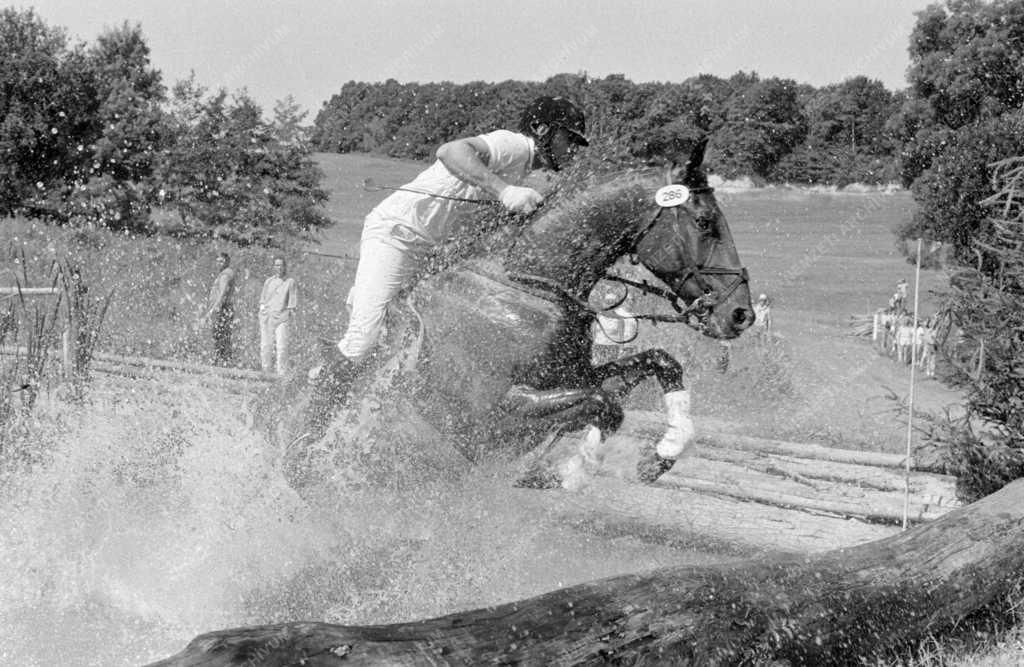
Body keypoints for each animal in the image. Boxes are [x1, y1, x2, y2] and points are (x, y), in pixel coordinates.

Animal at [292, 138, 757, 487]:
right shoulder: (489, 416)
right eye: (704, 222)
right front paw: (569, 472)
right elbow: (606, 405)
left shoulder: (573, 376)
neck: (527, 286)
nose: (741, 315)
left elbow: (658, 364)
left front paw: (661, 455)